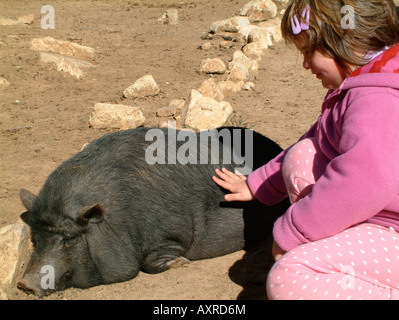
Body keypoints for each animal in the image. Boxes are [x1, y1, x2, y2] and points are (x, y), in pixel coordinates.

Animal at [18, 126, 288, 296]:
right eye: (35, 238)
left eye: (70, 239)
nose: (25, 284)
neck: (120, 218)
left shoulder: (171, 232)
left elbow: (151, 261)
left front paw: (180, 263)